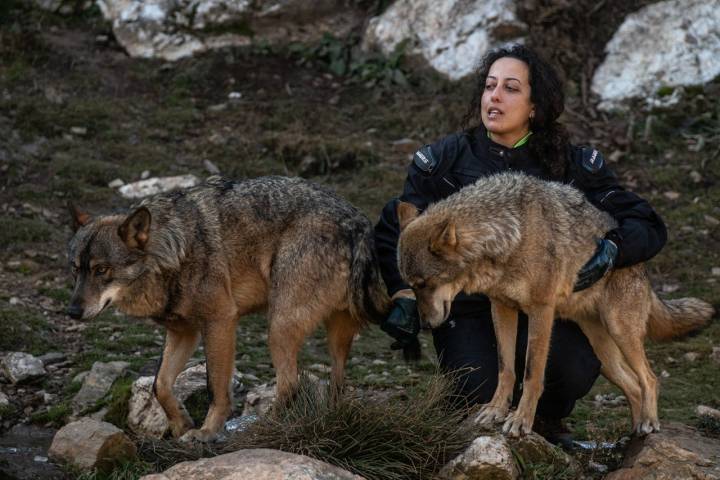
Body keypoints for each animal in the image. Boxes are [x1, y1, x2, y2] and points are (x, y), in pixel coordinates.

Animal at [67, 174, 390, 440]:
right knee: (337, 383)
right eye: (76, 269)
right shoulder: (183, 333)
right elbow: (161, 384)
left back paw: (260, 429)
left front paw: (207, 432)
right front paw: (181, 424)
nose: (72, 312)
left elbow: (216, 388)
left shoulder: (220, 321)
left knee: (290, 384)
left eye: (101, 270)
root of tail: (357, 221)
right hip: (336, 335)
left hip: (278, 327)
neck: (174, 250)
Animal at [396, 172, 716, 436]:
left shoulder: (541, 311)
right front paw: (496, 411)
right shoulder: (501, 307)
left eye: (423, 284)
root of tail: (644, 268)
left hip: (620, 332)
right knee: (634, 385)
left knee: (649, 379)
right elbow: (505, 368)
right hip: (604, 357)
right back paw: (633, 435)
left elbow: (531, 373)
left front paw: (520, 421)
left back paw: (649, 424)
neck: (510, 234)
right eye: (411, 285)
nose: (425, 324)